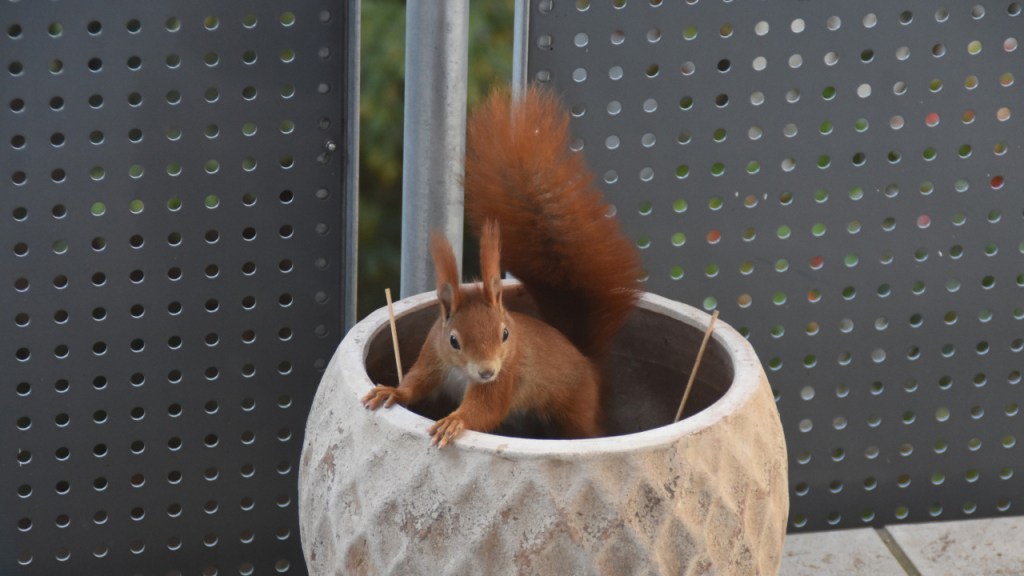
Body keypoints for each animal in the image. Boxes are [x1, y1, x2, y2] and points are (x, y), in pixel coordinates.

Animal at [361, 86, 643, 447]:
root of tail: (584, 356)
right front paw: (390, 391)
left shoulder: (505, 378)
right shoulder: (431, 356)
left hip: (576, 405)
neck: (462, 371)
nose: (487, 372)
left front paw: (454, 421)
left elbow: (485, 410)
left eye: (505, 334)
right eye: (454, 340)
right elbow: (415, 385)